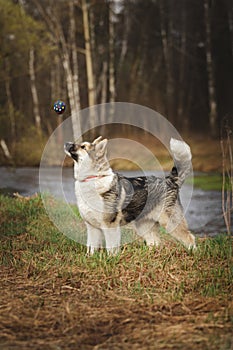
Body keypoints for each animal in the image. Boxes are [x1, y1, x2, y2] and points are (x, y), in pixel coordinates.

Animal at [64, 135, 197, 253]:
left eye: (83, 147)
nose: (66, 143)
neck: (92, 178)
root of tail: (170, 180)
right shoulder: (92, 228)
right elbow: (91, 248)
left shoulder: (110, 226)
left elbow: (111, 248)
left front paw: (112, 260)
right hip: (144, 226)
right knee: (155, 242)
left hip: (171, 223)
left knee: (189, 238)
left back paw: (193, 253)